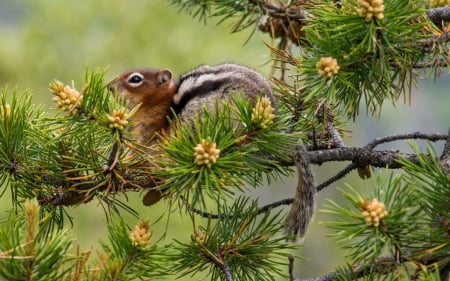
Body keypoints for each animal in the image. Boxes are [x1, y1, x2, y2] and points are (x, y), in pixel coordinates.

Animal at [108, 63, 314, 236]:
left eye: (135, 79)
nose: (109, 86)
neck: (164, 104)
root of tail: (275, 123)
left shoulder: (151, 136)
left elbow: (141, 155)